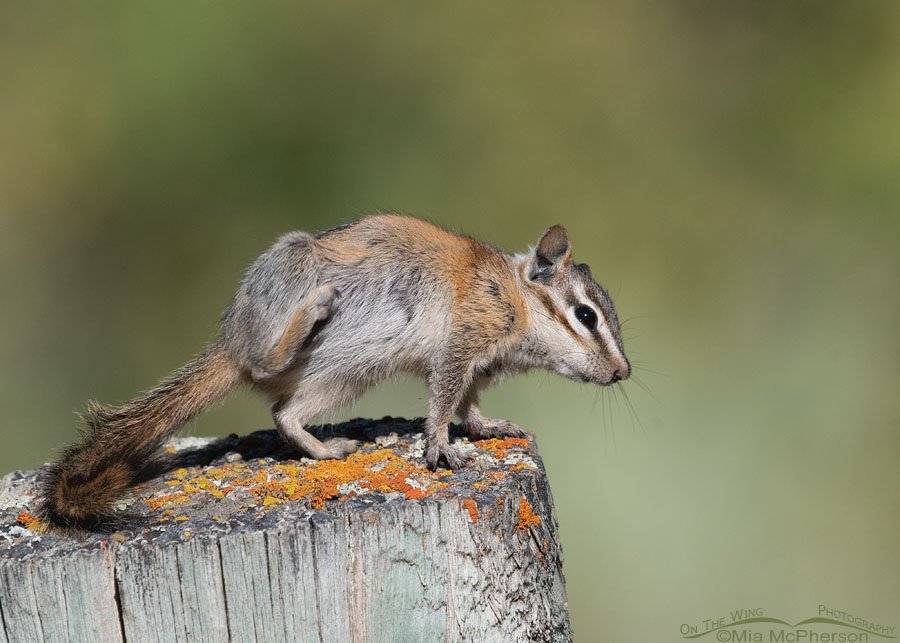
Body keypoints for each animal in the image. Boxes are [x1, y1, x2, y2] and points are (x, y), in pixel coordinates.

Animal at [39, 214, 630, 530]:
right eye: (586, 315)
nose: (623, 371)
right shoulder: (462, 344)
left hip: (339, 376)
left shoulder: (478, 366)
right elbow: (443, 401)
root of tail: (233, 341)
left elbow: (468, 404)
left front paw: (490, 429)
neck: (514, 295)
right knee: (273, 385)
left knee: (285, 410)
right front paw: (442, 448)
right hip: (324, 340)